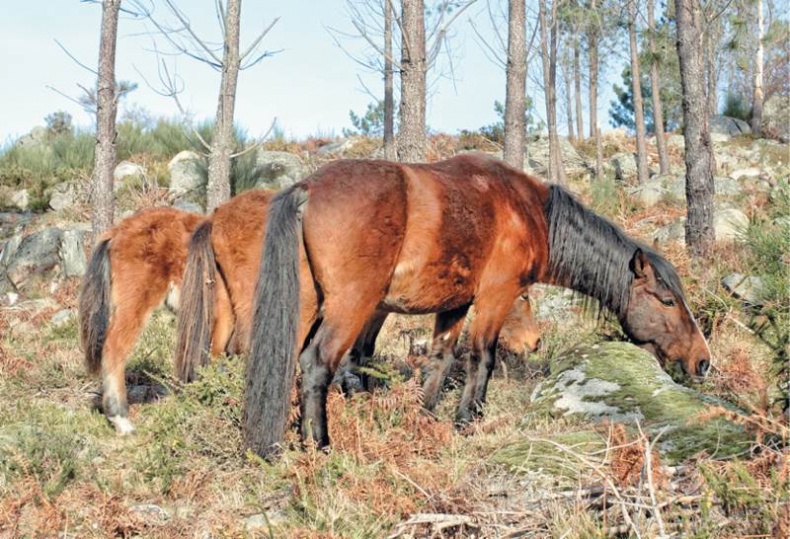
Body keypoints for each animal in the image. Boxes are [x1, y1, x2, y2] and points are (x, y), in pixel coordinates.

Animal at [79, 188, 541, 434]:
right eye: (523, 296)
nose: (536, 342)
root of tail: (116, 231)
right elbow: (354, 355)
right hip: (146, 304)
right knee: (115, 352)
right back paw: (122, 419)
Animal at [244, 153, 712, 458]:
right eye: (668, 301)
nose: (703, 360)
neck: (530, 210)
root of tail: (307, 188)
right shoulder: (495, 297)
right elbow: (482, 357)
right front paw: (467, 418)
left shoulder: (454, 305)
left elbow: (441, 359)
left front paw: (425, 416)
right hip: (350, 306)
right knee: (316, 365)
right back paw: (319, 446)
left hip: (308, 307)